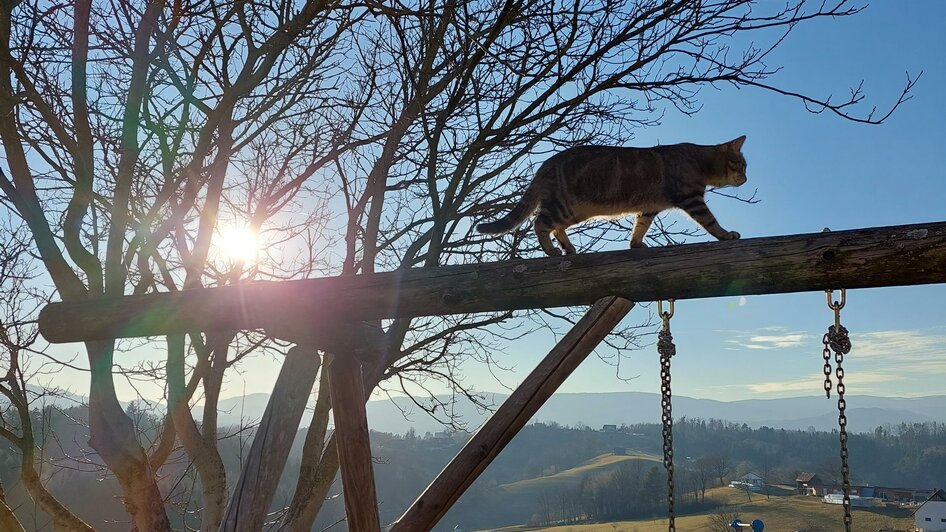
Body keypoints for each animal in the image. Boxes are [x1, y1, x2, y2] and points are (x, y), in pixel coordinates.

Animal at [476, 135, 748, 256]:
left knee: (556, 227)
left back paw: (568, 248)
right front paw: (727, 235)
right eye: (742, 165)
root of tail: (546, 164)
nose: (746, 178)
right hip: (563, 205)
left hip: (575, 212)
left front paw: (636, 244)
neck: (699, 159)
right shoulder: (692, 198)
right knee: (539, 223)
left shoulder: (649, 208)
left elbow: (640, 226)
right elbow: (711, 222)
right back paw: (552, 250)